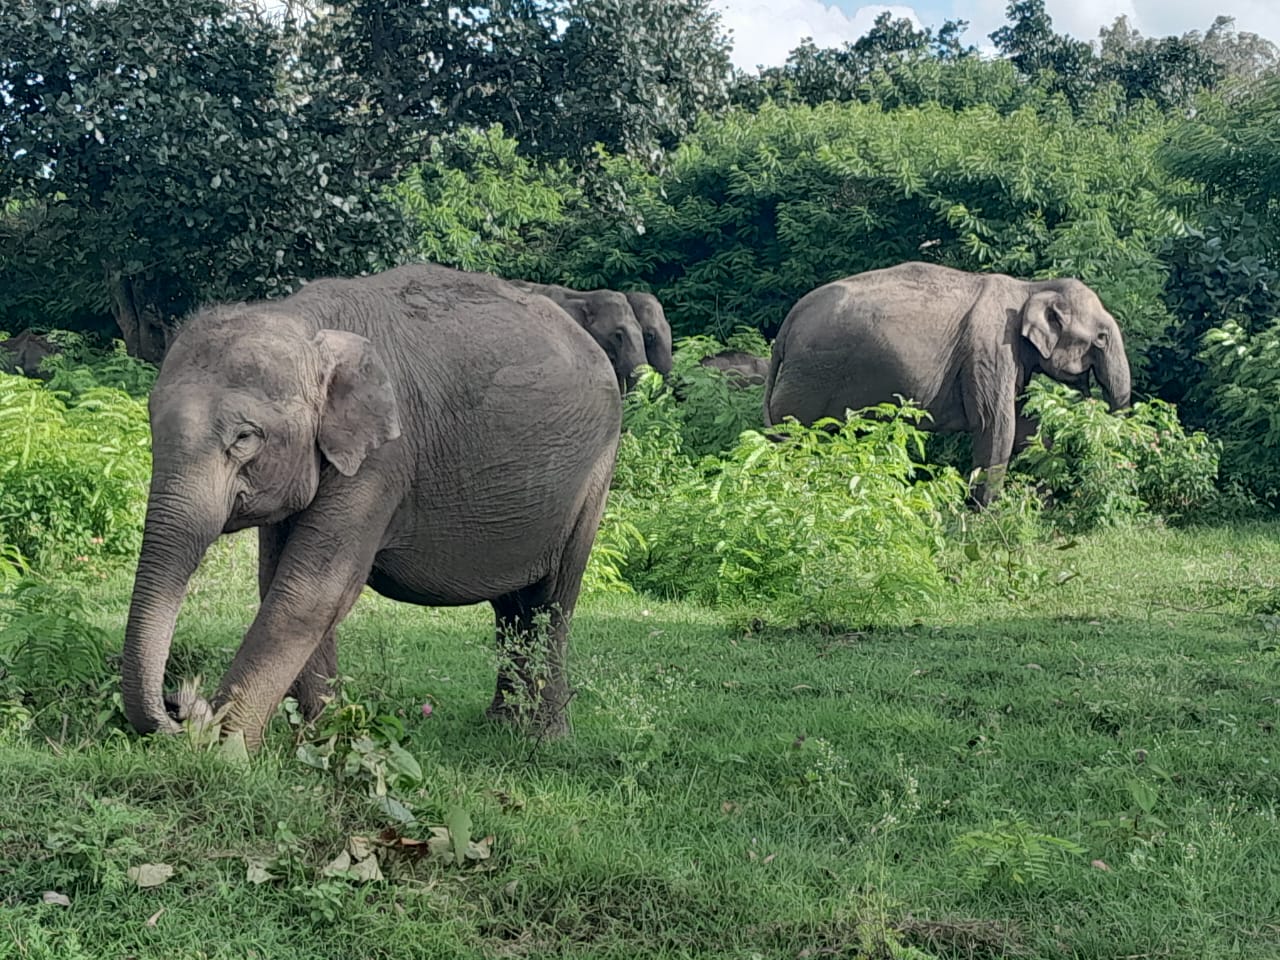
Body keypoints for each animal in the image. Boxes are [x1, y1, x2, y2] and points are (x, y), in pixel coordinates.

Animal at [121, 262, 622, 749]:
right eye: (151, 423)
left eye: (244, 437)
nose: (180, 705)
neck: (302, 319)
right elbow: (280, 579)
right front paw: (318, 737)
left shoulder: (383, 460)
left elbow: (312, 588)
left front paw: (227, 750)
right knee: (512, 608)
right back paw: (501, 724)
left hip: (594, 473)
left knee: (551, 602)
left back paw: (545, 736)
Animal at [764, 262, 1131, 504]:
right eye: (1101, 338)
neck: (1031, 287)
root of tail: (786, 327)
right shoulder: (991, 350)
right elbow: (997, 426)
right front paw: (986, 516)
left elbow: (1026, 428)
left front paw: (1039, 500)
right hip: (808, 379)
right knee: (793, 435)